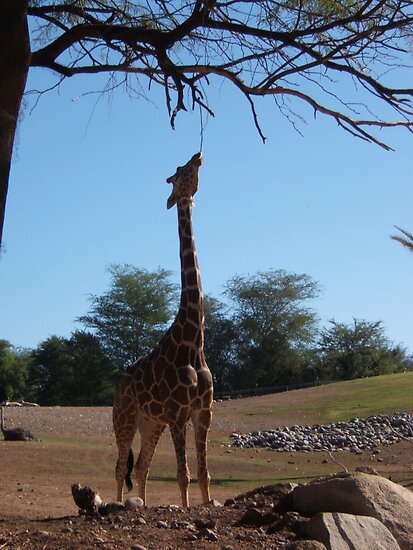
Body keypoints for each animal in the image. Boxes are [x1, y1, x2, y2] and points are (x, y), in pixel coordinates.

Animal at [112, 151, 212, 508]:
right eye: (179, 171)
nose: (197, 155)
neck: (194, 341)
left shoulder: (203, 412)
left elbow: (203, 473)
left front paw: (208, 504)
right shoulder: (178, 413)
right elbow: (183, 474)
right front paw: (185, 509)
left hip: (150, 422)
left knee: (142, 467)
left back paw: (142, 503)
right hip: (125, 417)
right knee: (120, 466)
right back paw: (121, 503)